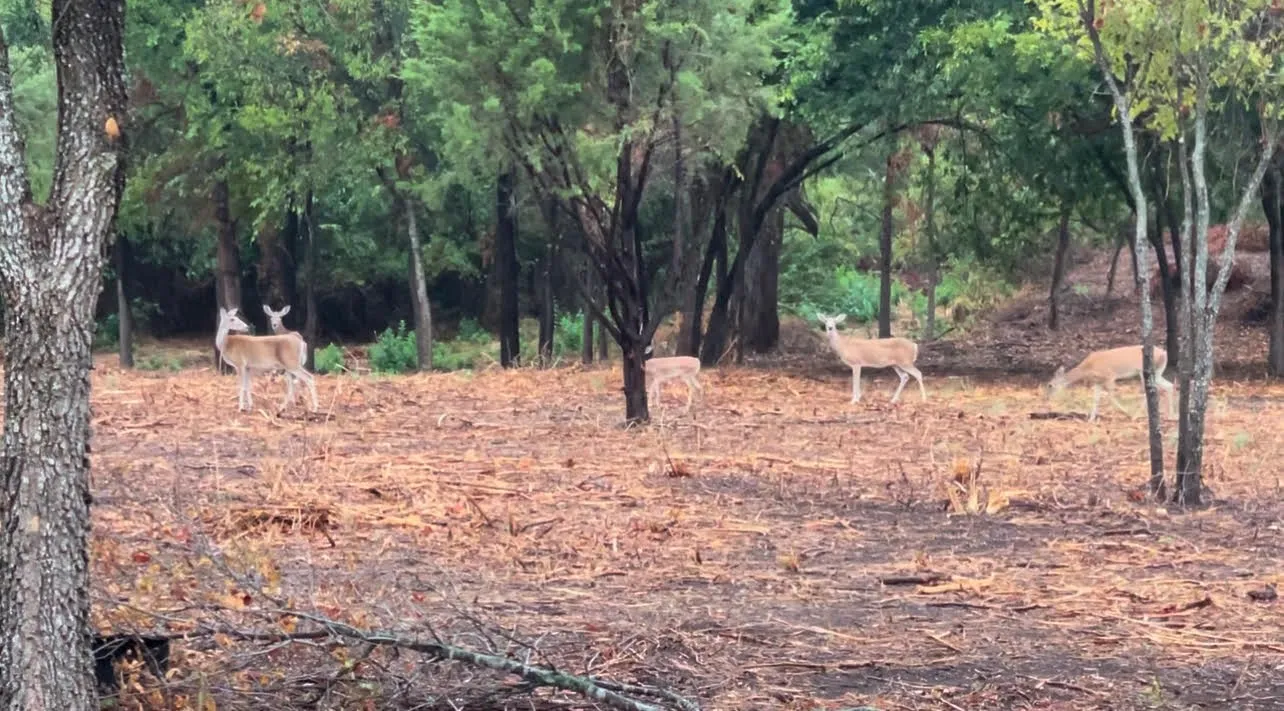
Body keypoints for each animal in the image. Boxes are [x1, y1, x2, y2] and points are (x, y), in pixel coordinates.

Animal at [1046, 345, 1176, 422]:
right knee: (1168, 385)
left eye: (1050, 385)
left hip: (1143, 371)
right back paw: (1170, 415)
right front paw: (1091, 420)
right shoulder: (1098, 382)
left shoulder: (1110, 376)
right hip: (1158, 372)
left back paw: (1136, 415)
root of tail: (1164, 353)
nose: (1047, 398)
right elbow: (1096, 399)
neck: (1088, 367)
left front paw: (1125, 412)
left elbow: (1111, 398)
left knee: (1148, 390)